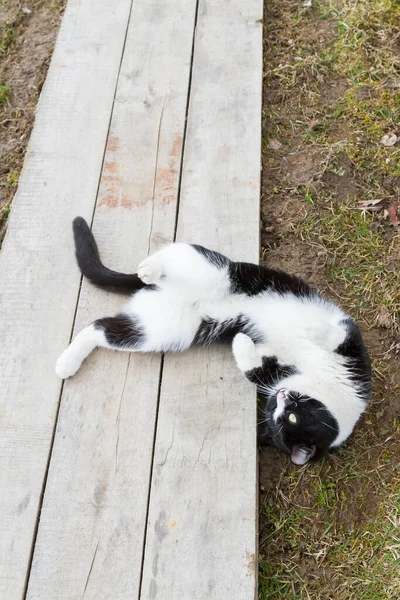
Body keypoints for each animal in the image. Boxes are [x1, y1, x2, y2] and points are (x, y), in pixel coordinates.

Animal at [56, 218, 372, 466]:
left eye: (281, 417)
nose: (282, 397)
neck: (325, 380)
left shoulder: (274, 371)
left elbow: (255, 370)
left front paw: (241, 341)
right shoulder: (353, 345)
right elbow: (335, 335)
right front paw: (308, 329)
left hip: (163, 331)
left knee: (100, 328)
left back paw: (66, 363)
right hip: (216, 271)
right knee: (178, 253)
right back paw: (149, 268)